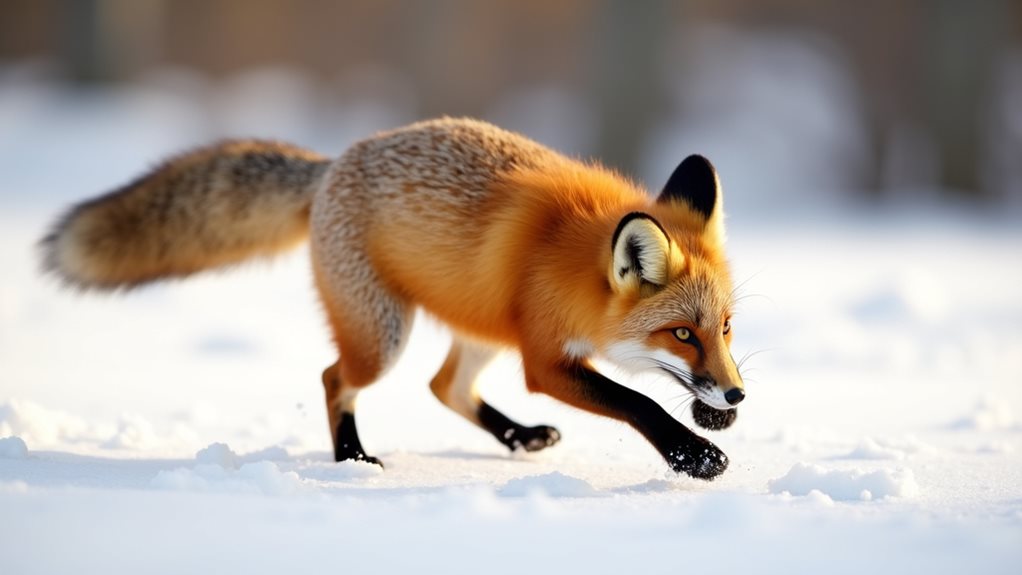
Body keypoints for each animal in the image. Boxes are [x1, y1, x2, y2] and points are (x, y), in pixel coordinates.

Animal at [42, 117, 745, 480]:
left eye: (726, 328)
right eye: (682, 333)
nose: (738, 394)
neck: (571, 263)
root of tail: (331, 165)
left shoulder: (536, 345)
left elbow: (653, 395)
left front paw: (709, 419)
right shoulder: (545, 360)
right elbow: (638, 400)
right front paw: (694, 454)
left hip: (481, 324)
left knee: (443, 387)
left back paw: (518, 438)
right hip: (384, 336)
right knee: (335, 379)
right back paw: (352, 458)